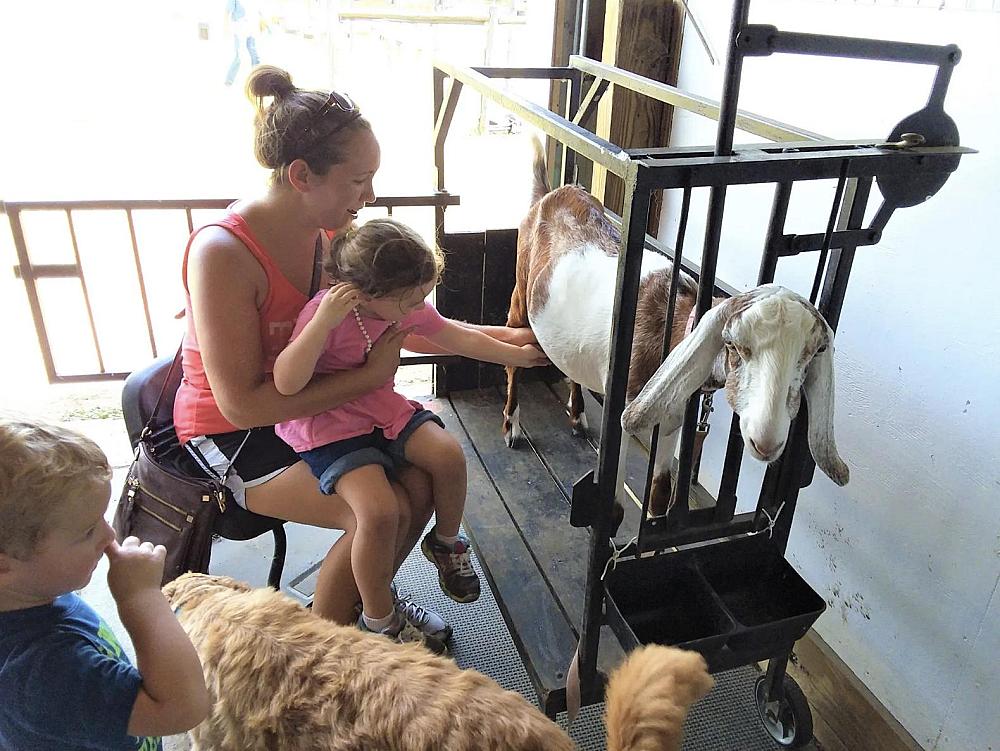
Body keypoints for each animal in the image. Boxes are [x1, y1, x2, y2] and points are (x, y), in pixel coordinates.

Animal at [503, 138, 849, 516]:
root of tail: (549, 193)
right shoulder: (625, 413)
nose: (766, 441)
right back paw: (512, 426)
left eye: (813, 353)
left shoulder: (672, 418)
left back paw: (577, 416)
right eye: (734, 345)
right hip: (520, 296)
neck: (672, 327)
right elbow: (615, 507)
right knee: (513, 356)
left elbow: (661, 491)